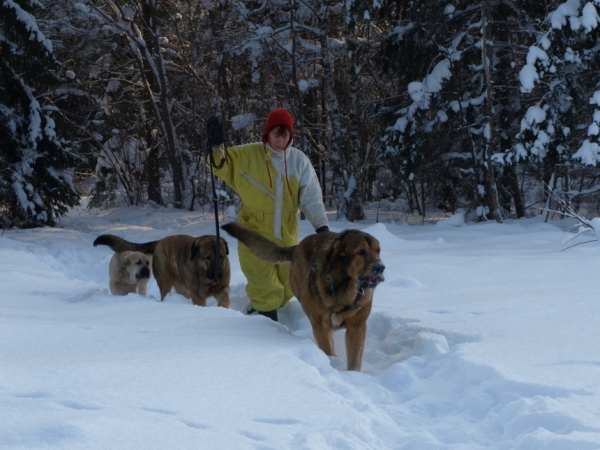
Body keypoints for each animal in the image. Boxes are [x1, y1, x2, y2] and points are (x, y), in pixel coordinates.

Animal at [220, 223, 384, 370]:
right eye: (361, 252)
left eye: (378, 251)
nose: (381, 267)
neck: (344, 290)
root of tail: (298, 246)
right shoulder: (320, 325)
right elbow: (327, 349)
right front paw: (331, 364)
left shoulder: (357, 327)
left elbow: (355, 359)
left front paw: (352, 375)